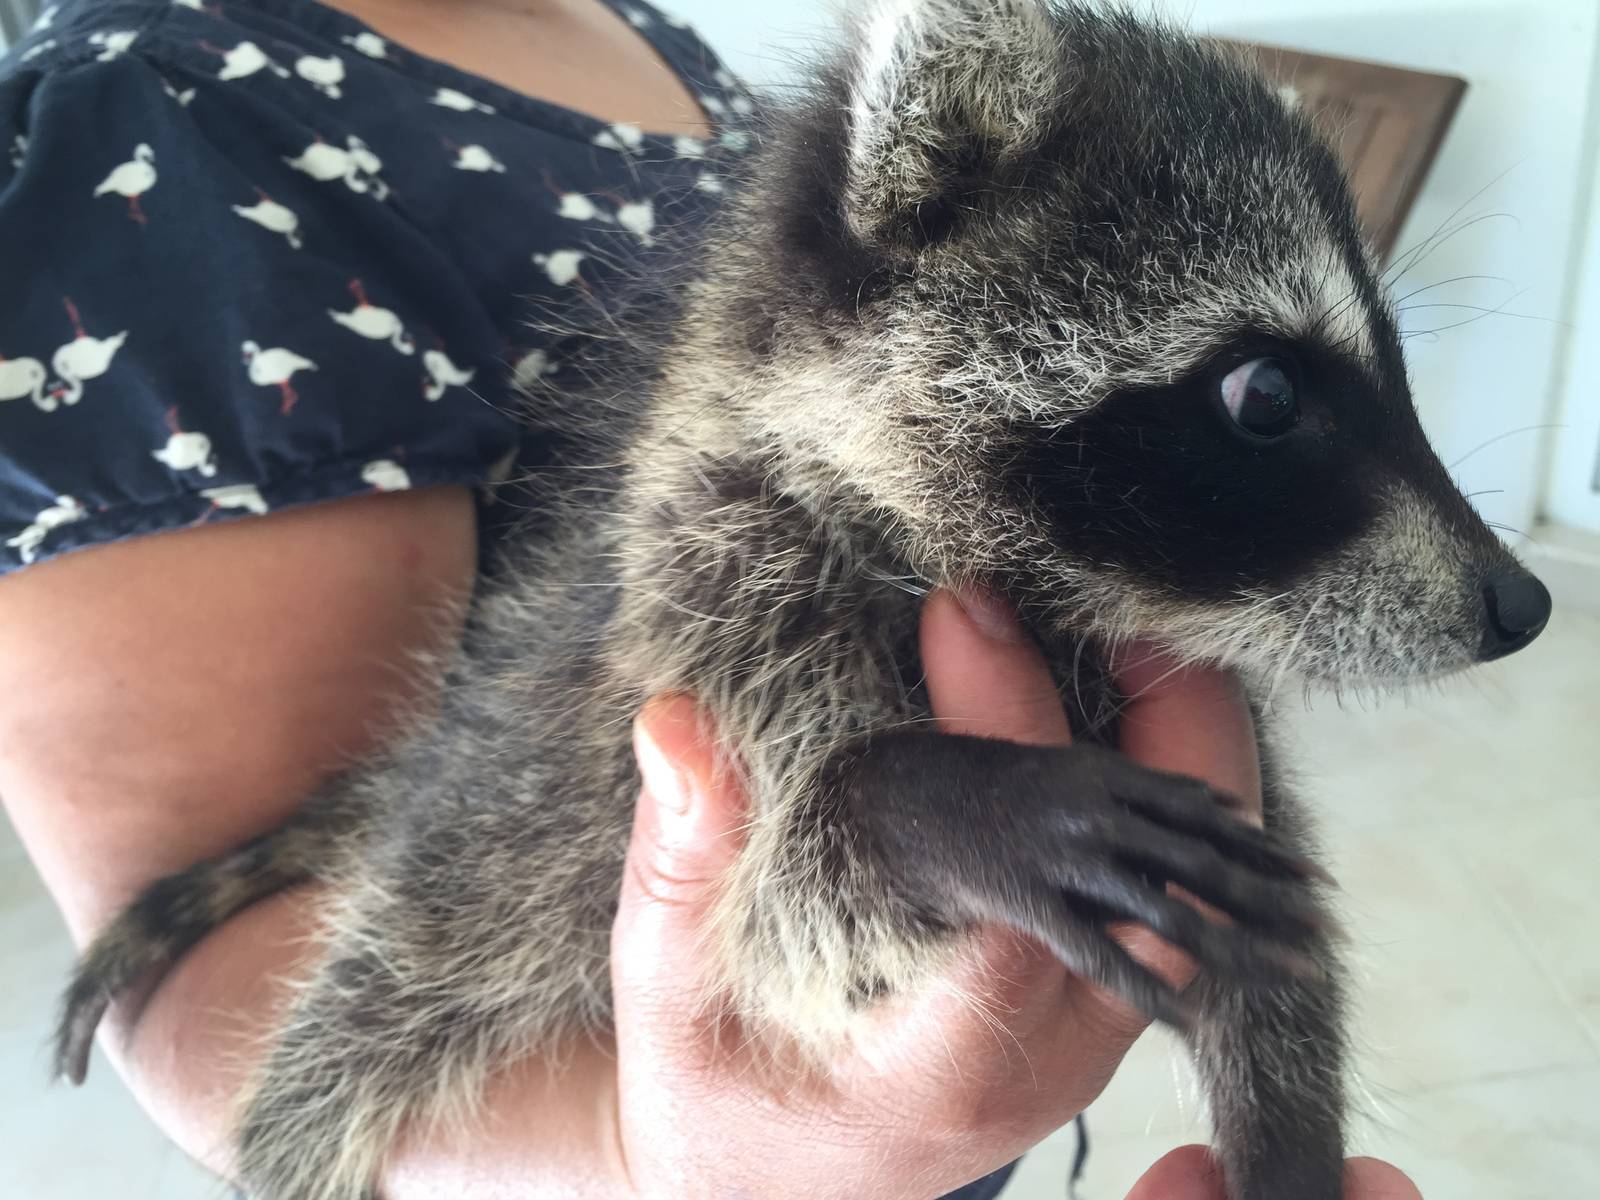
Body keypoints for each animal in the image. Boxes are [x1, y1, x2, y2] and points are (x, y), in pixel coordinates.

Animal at [56, 2, 1552, 1199]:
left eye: (1396, 371)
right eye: (1265, 395)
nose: (1521, 605)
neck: (1034, 592)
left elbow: (1278, 971)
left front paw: (1285, 1137)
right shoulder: (719, 597)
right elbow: (793, 908)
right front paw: (928, 801)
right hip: (433, 914)